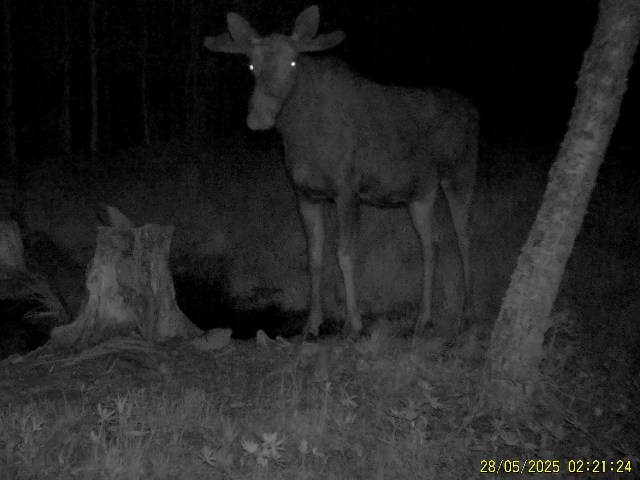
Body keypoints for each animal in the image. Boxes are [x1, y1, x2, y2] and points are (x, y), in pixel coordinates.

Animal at [204, 5, 478, 337]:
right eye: (251, 64)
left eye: (293, 61)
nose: (259, 116)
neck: (300, 136)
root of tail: (475, 112)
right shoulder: (305, 194)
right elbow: (314, 256)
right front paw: (311, 322)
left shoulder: (348, 190)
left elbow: (344, 255)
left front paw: (354, 323)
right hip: (420, 193)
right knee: (431, 243)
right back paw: (423, 317)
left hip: (460, 175)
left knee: (464, 237)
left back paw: (467, 311)